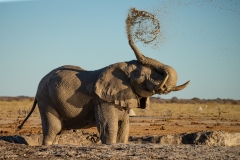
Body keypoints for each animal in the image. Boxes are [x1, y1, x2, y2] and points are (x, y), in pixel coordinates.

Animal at [18, 36, 189, 145]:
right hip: (46, 100)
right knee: (53, 129)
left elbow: (124, 128)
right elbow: (109, 127)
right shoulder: (102, 100)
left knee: (59, 132)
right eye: (142, 76)